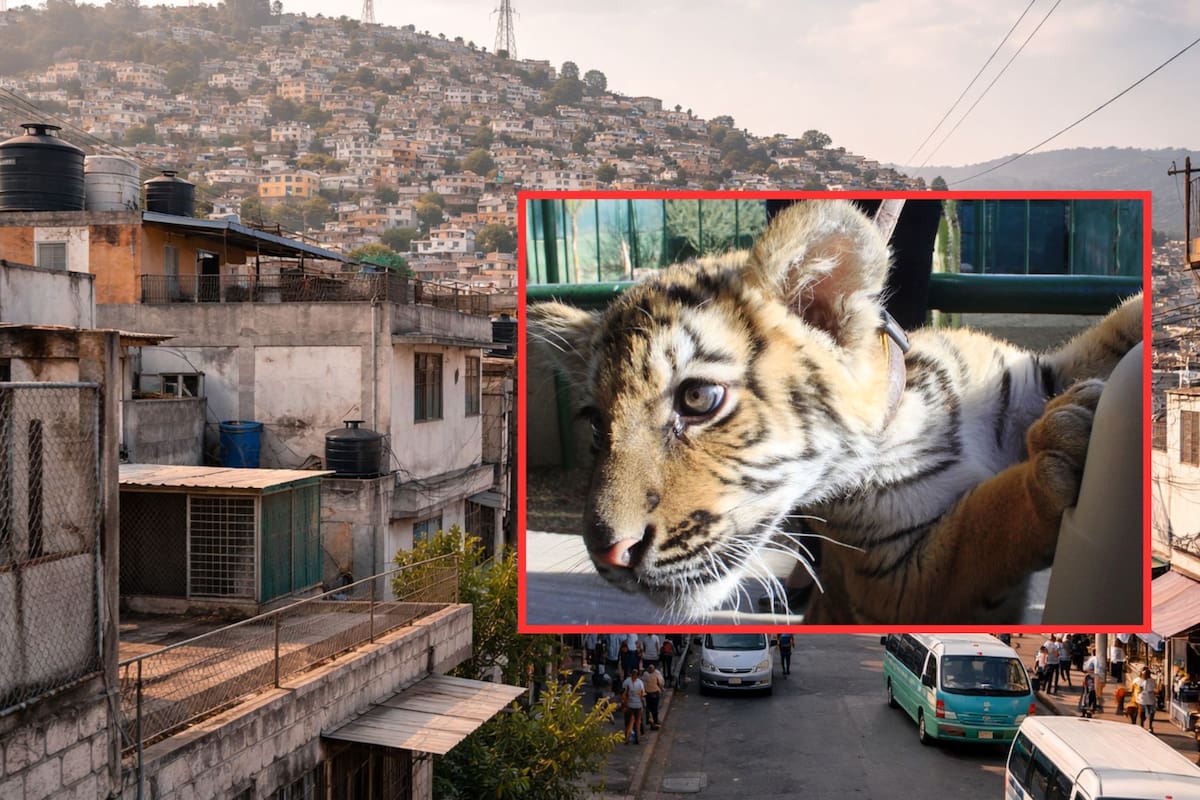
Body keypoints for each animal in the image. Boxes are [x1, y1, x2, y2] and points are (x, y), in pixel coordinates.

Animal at [527, 199, 1142, 625]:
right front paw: (1054, 455)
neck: (909, 419)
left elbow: (1113, 329)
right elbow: (983, 522)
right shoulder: (899, 581)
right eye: (595, 423)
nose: (608, 555)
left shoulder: (1037, 377)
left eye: (697, 398)